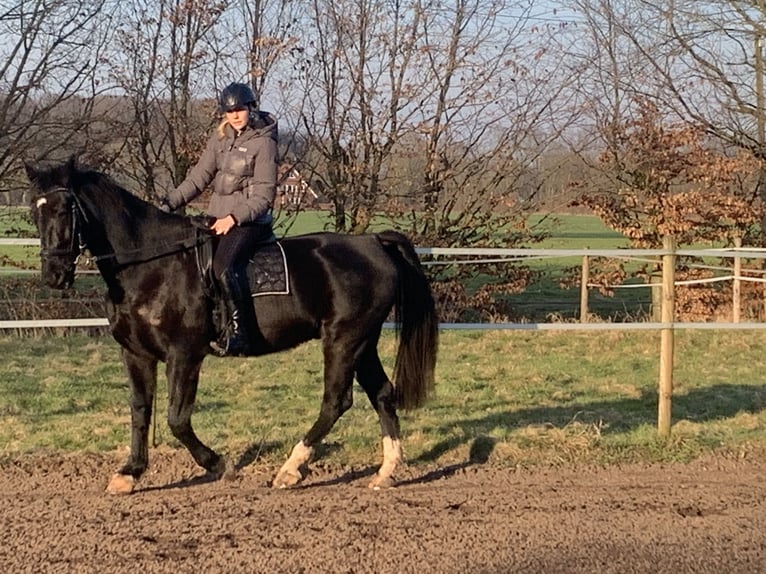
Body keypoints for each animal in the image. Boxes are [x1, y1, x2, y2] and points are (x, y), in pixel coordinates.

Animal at [25, 158, 438, 494]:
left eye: (66, 207)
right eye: (35, 210)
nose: (54, 275)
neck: (152, 265)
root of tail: (373, 241)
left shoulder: (185, 354)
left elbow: (177, 418)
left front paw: (218, 464)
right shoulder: (136, 354)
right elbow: (141, 412)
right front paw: (130, 473)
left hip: (344, 340)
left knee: (336, 401)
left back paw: (290, 470)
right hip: (363, 342)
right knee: (382, 393)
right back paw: (385, 472)